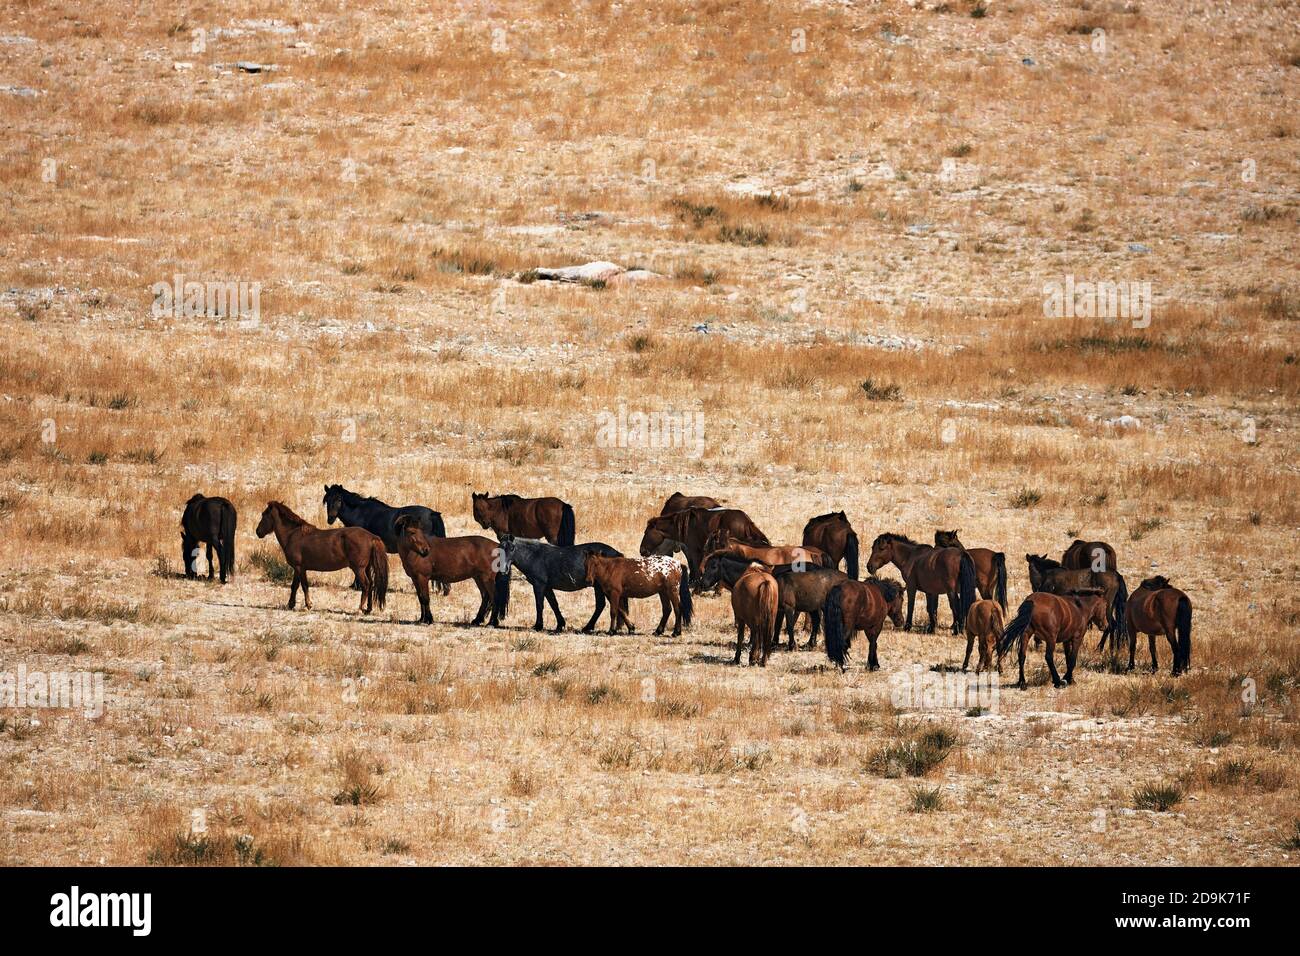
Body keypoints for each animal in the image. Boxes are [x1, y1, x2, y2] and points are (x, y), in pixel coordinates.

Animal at [253, 502, 384, 613]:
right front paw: (290, 604)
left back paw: (360, 609)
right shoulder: (297, 568)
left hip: (358, 569)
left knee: (366, 585)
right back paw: (368, 609)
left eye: (264, 515)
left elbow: (304, 586)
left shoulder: (300, 568)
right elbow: (294, 586)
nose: (258, 532)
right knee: (371, 585)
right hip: (366, 568)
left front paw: (308, 605)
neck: (293, 535)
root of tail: (371, 537)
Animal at [491, 535, 624, 632]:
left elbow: (540, 605)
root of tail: (617, 553)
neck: (534, 556)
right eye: (499, 548)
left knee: (602, 605)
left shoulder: (539, 585)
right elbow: (554, 604)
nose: (504, 569)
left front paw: (538, 626)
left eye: (512, 548)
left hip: (600, 587)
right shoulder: (547, 587)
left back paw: (588, 627)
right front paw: (560, 625)